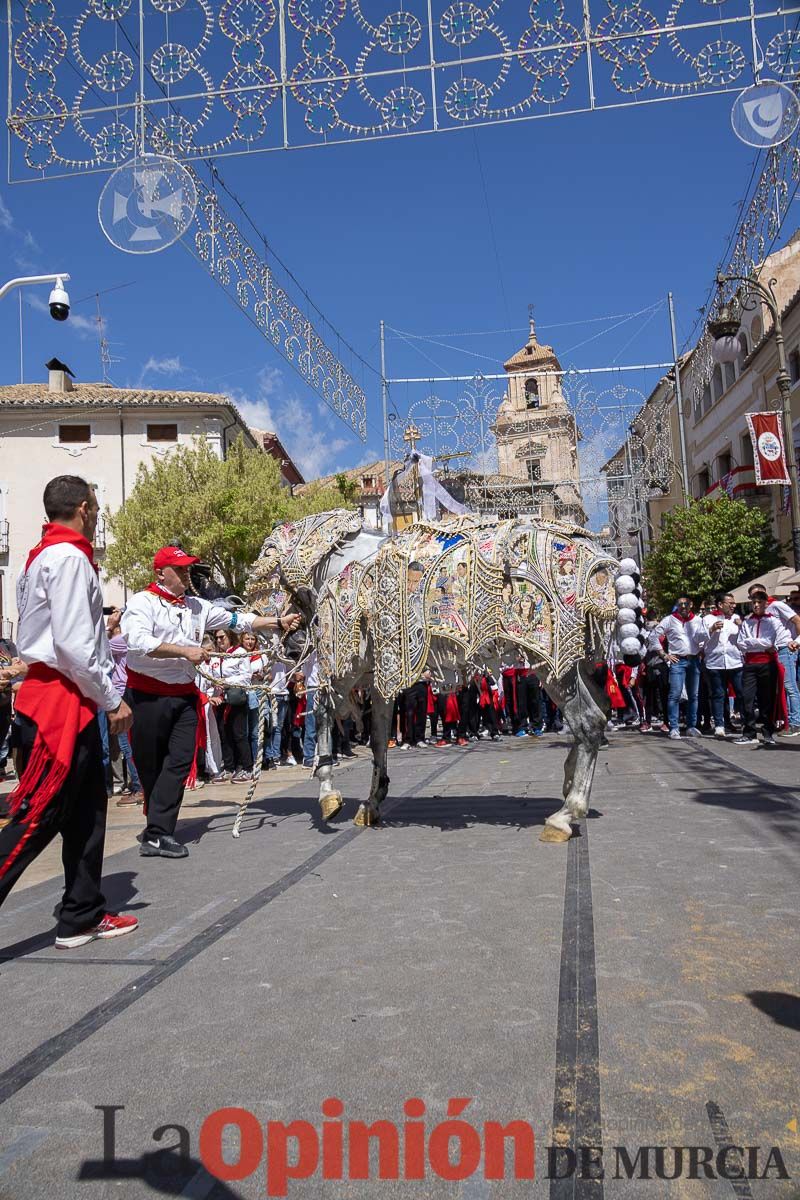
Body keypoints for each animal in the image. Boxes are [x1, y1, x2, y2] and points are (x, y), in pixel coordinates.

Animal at [248, 508, 638, 844]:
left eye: (265, 555)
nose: (261, 623)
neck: (339, 560)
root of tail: (601, 559)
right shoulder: (383, 672)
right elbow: (378, 737)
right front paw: (372, 801)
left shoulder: (350, 667)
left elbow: (326, 711)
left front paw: (329, 795)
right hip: (574, 663)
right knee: (599, 713)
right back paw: (570, 782)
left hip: (553, 663)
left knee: (588, 721)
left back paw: (566, 813)